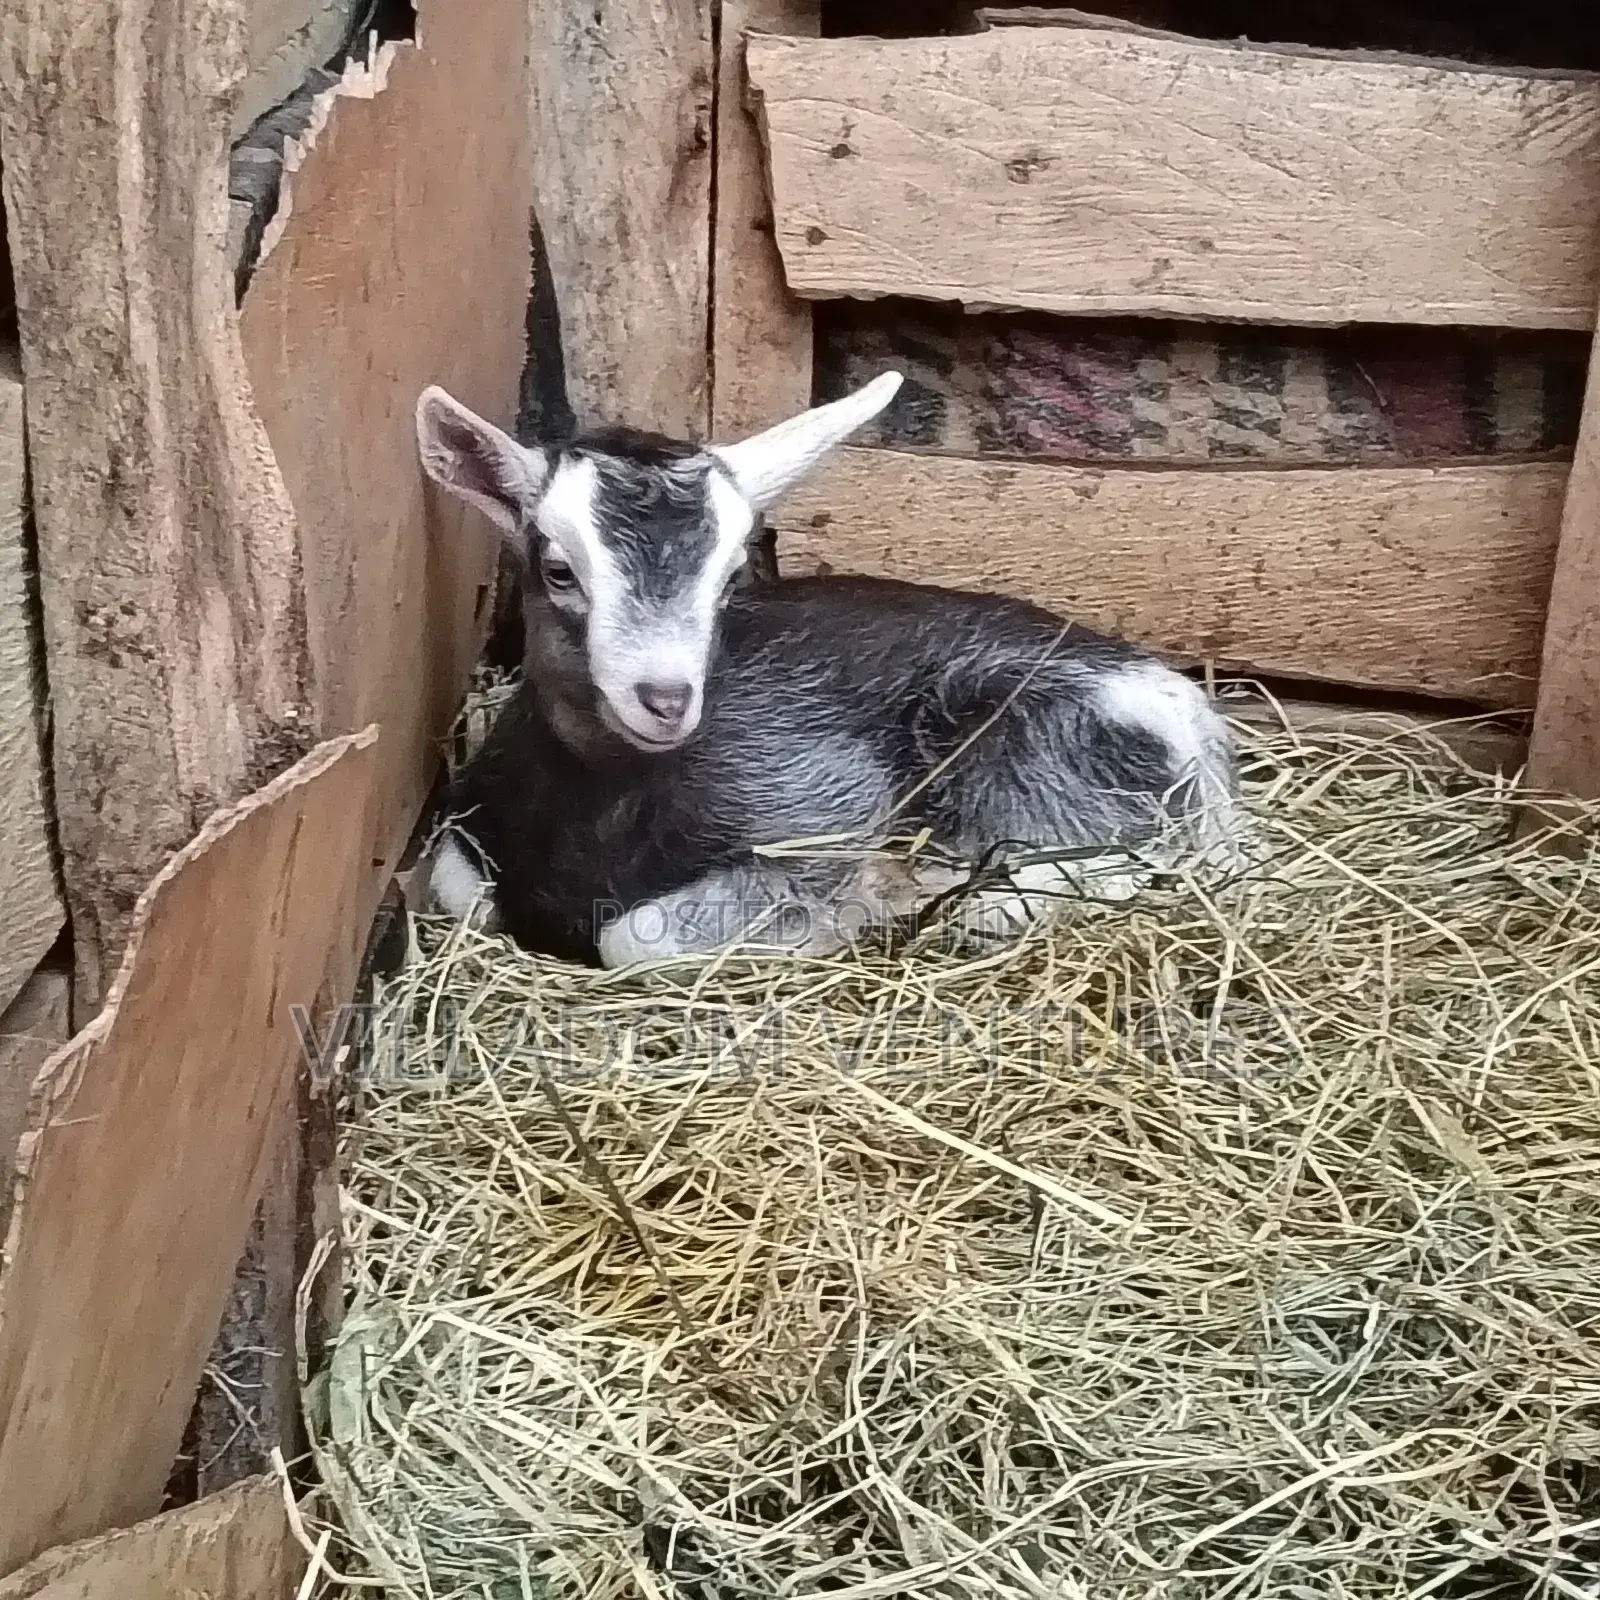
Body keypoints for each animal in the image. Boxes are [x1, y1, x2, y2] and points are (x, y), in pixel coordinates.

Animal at [414, 372, 1254, 968]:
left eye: (732, 577)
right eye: (559, 569)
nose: (665, 698)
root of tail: (1204, 742)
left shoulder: (825, 803)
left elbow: (632, 936)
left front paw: (867, 901)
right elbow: (461, 890)